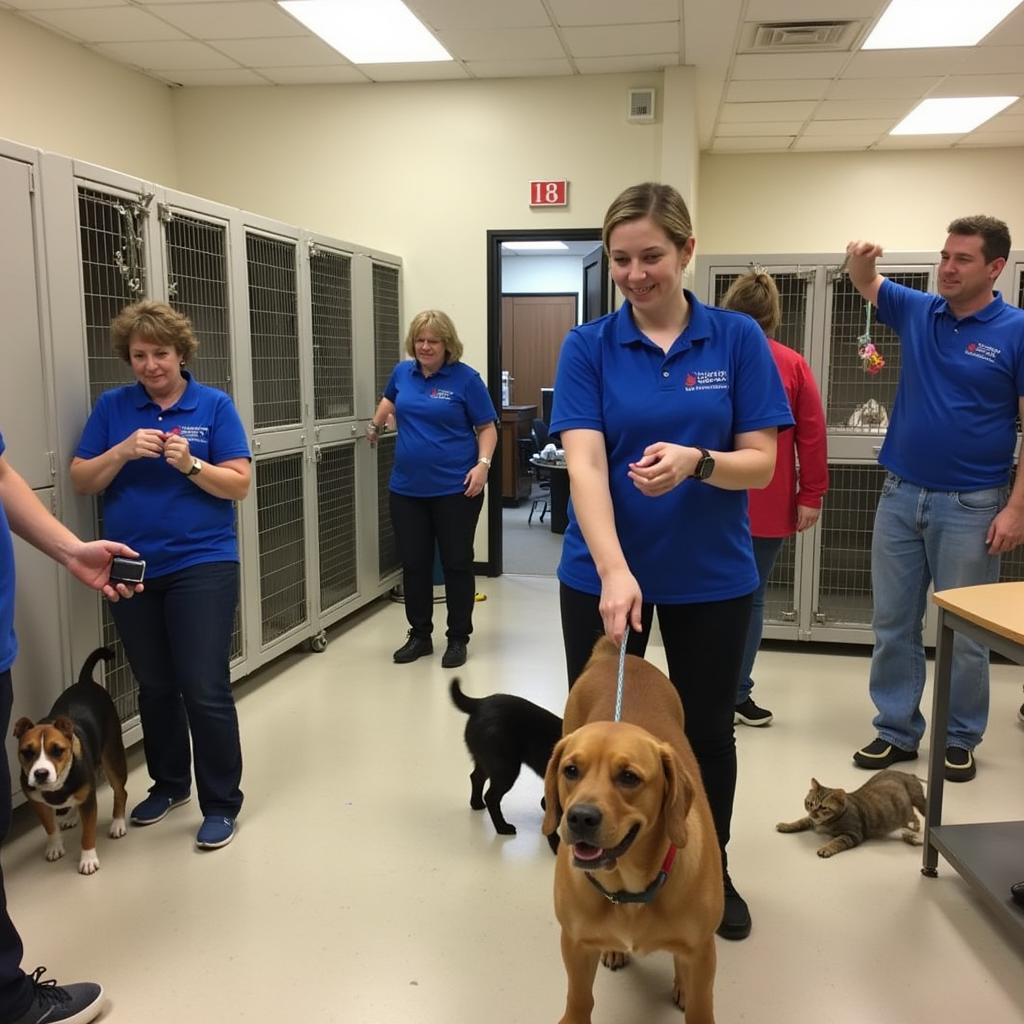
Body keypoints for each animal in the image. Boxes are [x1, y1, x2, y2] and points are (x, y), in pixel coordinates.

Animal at [12, 647, 126, 872]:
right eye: (27, 752)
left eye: (58, 750)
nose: (40, 773)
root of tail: (86, 681)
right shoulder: (37, 802)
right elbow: (50, 827)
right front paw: (55, 846)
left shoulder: (90, 802)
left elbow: (88, 832)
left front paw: (88, 859)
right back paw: (72, 815)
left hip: (112, 758)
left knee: (121, 791)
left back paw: (118, 823)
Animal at [448, 675, 561, 851]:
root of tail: (480, 704)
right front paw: (556, 845)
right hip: (506, 768)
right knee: (491, 797)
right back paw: (502, 827)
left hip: (488, 762)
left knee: (476, 778)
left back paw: (477, 804)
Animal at [540, 634, 724, 1019]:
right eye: (571, 770)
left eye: (629, 777)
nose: (580, 817)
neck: (628, 888)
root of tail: (616, 657)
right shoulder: (575, 945)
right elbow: (580, 998)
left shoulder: (702, 951)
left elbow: (700, 1002)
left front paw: (686, 987)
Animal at [778, 770, 925, 856]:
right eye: (810, 804)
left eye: (823, 808)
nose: (813, 814)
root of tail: (909, 774)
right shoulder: (811, 820)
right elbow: (800, 821)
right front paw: (786, 825)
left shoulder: (852, 834)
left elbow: (837, 841)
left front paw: (826, 848)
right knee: (913, 816)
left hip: (918, 802)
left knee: (916, 815)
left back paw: (915, 831)